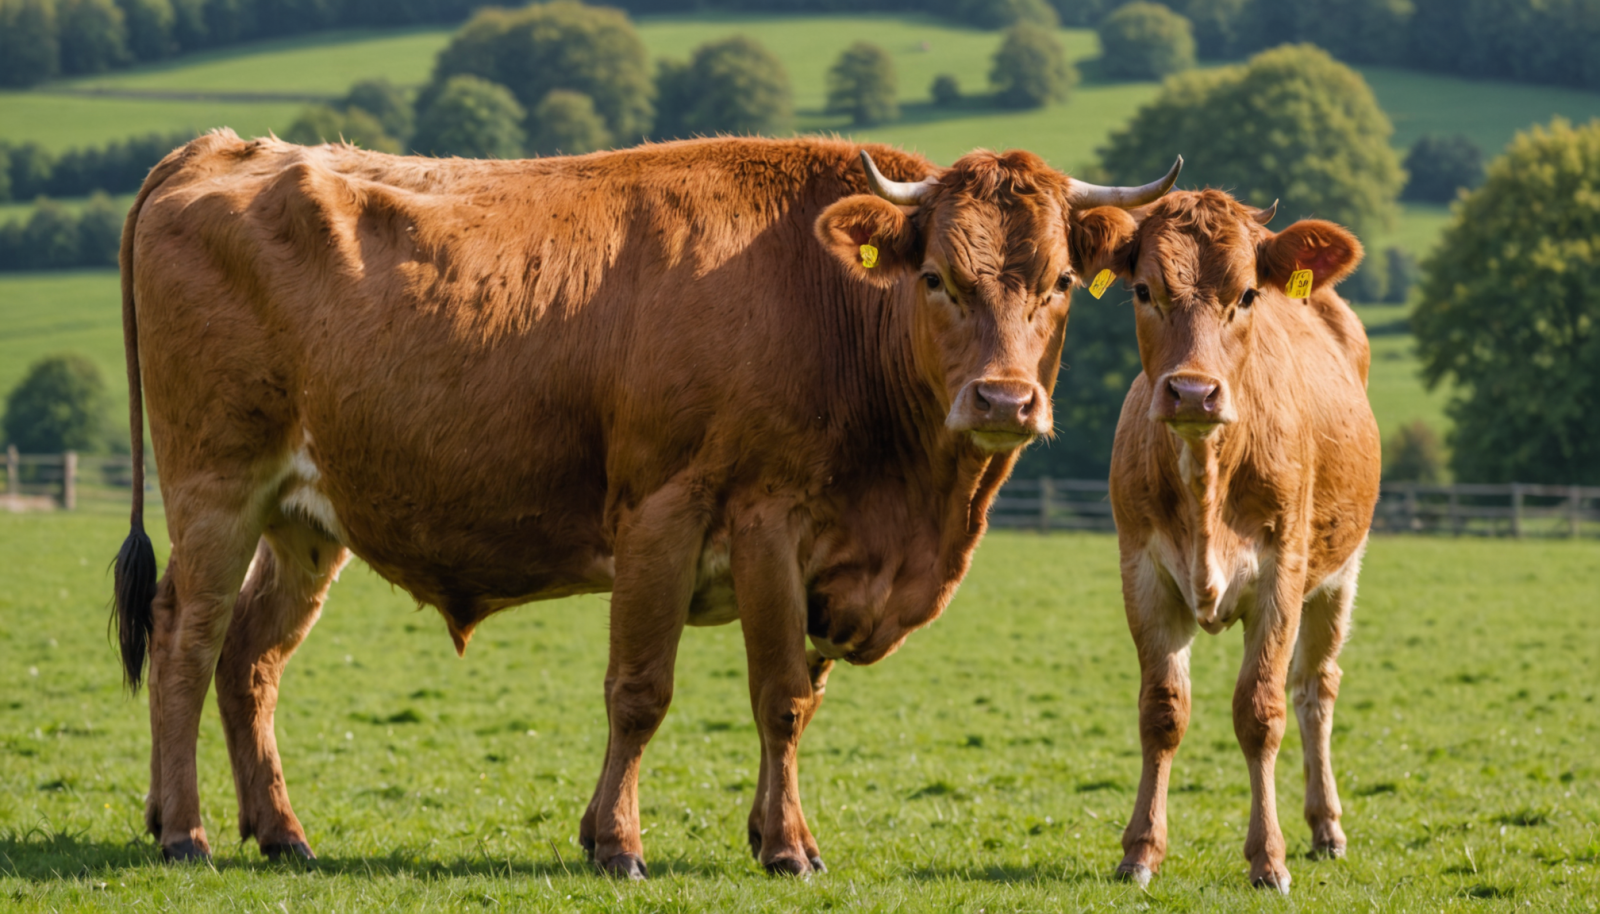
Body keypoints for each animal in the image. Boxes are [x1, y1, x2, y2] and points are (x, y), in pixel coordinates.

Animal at [110, 131, 1181, 877]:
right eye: (936, 278)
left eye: (1057, 283)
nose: (1005, 400)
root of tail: (224, 149)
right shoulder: (702, 519)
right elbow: (674, 692)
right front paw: (640, 842)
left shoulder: (818, 562)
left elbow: (792, 700)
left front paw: (772, 834)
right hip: (216, 487)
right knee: (185, 635)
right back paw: (185, 831)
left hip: (304, 518)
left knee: (251, 657)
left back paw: (279, 832)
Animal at [1070, 190, 1380, 892]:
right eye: (1144, 290)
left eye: (1246, 294)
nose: (1192, 391)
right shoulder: (1143, 574)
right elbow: (1162, 710)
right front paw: (1141, 850)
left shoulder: (1281, 575)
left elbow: (1260, 711)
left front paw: (1269, 858)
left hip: (1340, 575)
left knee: (1314, 689)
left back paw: (1326, 828)